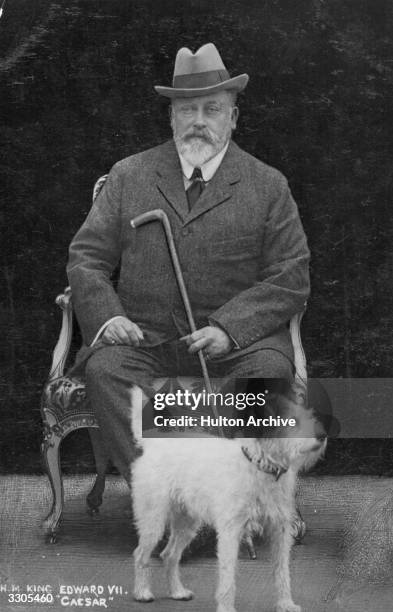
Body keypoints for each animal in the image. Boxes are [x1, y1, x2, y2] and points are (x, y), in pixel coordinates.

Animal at [130, 384, 324, 608]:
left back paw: (177, 592)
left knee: (169, 555)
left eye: (310, 417)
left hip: (187, 523)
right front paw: (226, 608)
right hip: (153, 521)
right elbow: (228, 579)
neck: (260, 467)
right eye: (293, 420)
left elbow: (282, 573)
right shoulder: (231, 532)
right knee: (140, 554)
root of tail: (153, 444)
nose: (323, 434)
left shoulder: (280, 532)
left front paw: (285, 605)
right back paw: (142, 592)